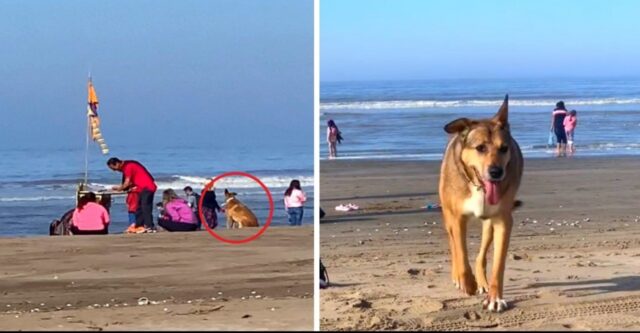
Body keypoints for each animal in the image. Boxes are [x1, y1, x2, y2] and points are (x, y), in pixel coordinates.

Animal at [440, 95, 524, 312]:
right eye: (480, 148)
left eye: (504, 148)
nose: (496, 172)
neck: (478, 186)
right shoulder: (457, 218)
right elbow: (461, 252)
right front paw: (467, 282)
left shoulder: (503, 220)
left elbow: (498, 264)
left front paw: (495, 298)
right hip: (447, 215)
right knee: (453, 244)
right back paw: (459, 277)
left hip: (488, 223)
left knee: (481, 254)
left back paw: (483, 282)